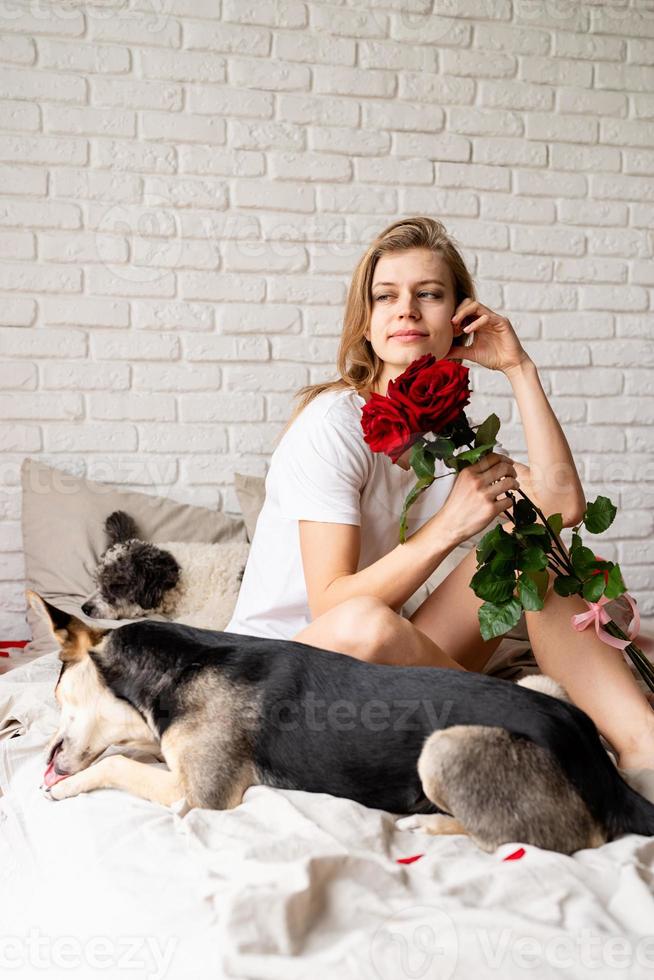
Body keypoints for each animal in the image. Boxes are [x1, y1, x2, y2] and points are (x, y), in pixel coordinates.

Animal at [32, 588, 654, 856]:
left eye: (60, 696)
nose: (48, 758)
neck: (177, 668)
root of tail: (605, 776)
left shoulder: (199, 793)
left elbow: (114, 766)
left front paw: (64, 785)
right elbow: (130, 753)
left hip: (443, 749)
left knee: (564, 839)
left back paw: (427, 826)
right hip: (542, 686)